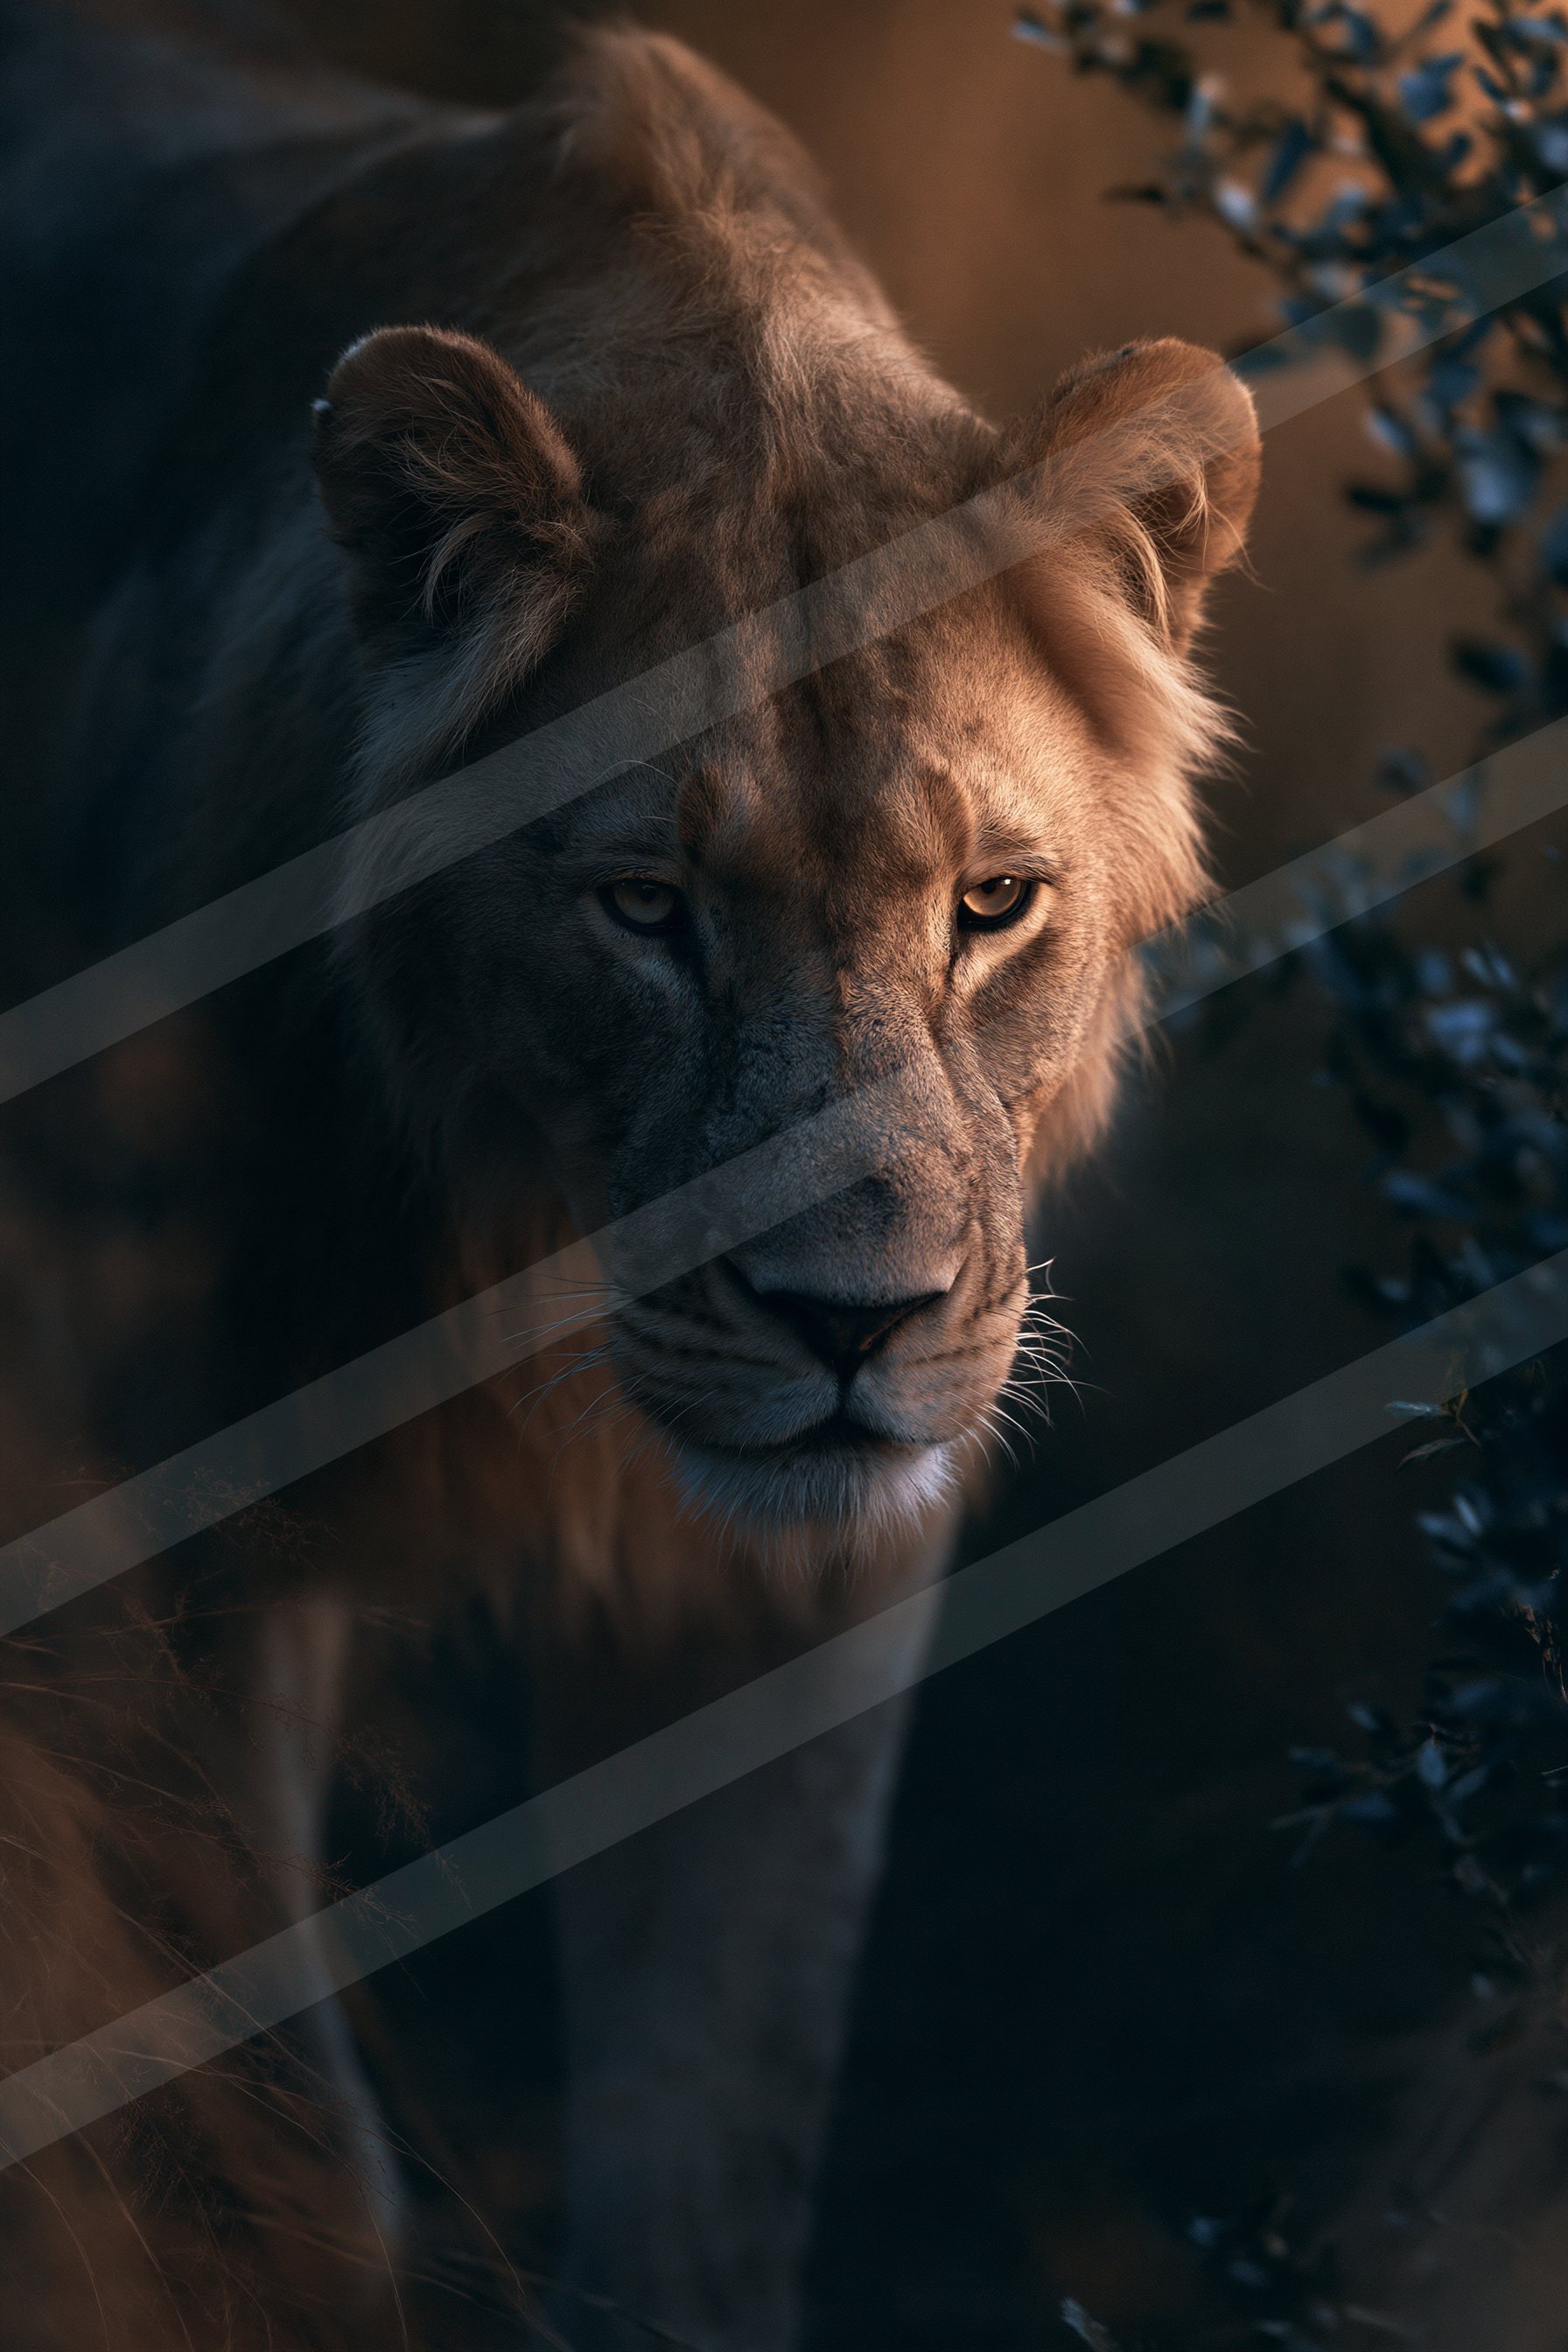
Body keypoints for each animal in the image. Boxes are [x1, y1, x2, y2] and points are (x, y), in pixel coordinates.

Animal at [0, 3, 1259, 2345]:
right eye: (648, 912)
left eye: (991, 904)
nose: (853, 1330)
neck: (517, 1264)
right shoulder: (172, 1528)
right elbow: (291, 2157)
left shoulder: (807, 1581)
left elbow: (713, 2159)